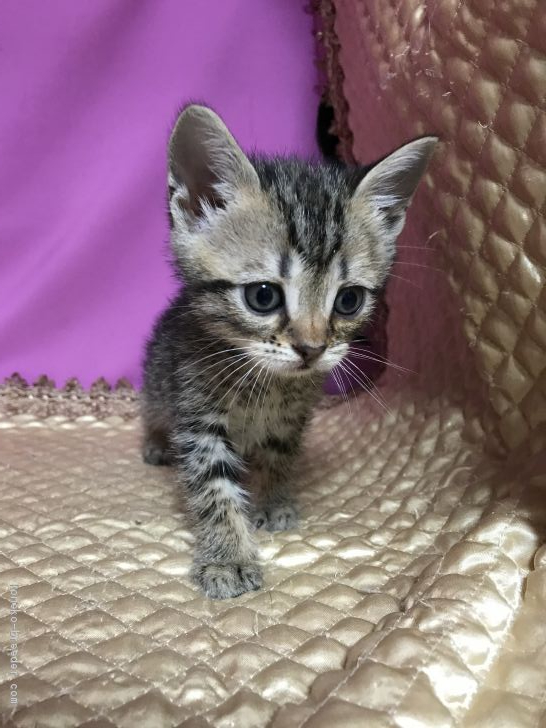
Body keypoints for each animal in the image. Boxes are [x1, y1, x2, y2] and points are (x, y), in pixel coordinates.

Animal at [142, 105, 436, 600]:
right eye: (263, 296)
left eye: (349, 300)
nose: (312, 348)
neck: (266, 383)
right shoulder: (198, 415)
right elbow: (213, 487)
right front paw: (227, 557)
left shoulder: (291, 419)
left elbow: (279, 457)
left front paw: (273, 500)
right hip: (156, 382)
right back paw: (155, 443)